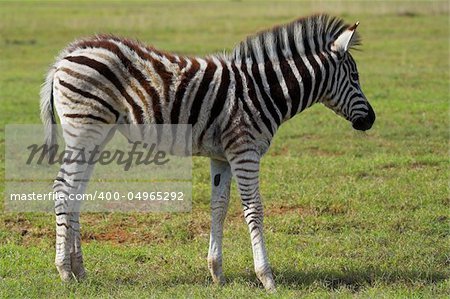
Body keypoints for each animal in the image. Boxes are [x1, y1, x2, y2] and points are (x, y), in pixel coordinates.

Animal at [39, 13, 376, 290]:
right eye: (355, 77)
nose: (371, 120)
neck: (265, 91)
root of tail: (66, 55)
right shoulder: (245, 151)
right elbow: (254, 209)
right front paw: (267, 277)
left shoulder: (222, 157)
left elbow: (219, 207)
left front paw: (217, 273)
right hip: (84, 128)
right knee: (63, 188)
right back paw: (64, 271)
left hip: (95, 133)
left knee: (76, 191)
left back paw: (80, 270)